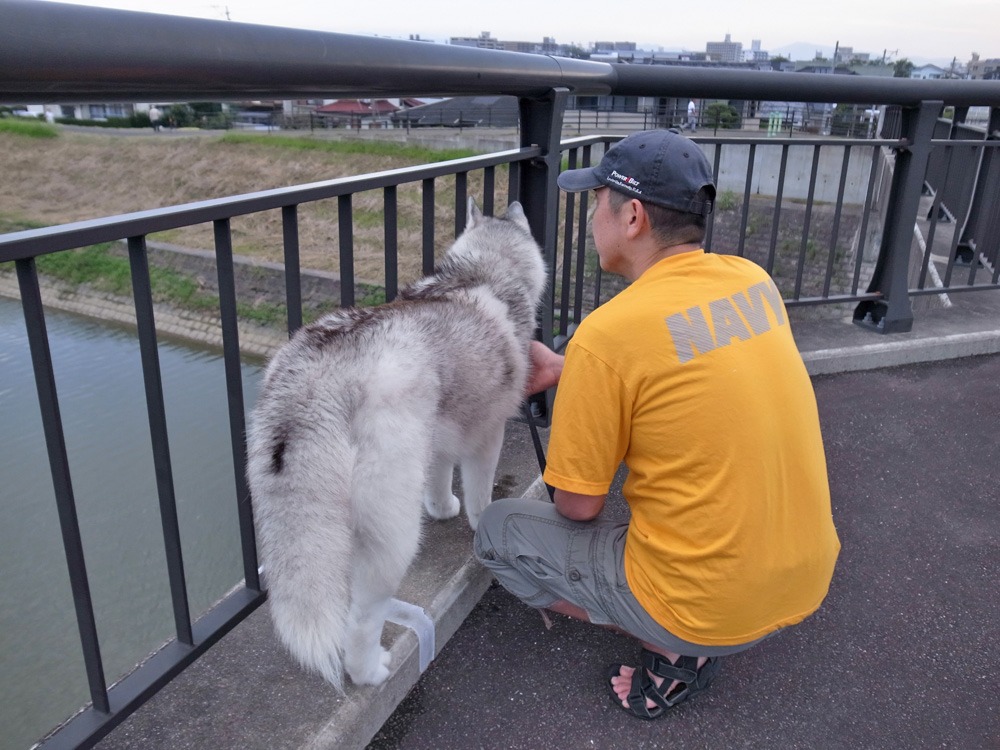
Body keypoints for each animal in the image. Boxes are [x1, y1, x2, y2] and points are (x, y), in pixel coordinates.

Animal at [249, 200, 548, 692]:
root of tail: (321, 374)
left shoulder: (441, 430)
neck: (484, 270)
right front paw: (479, 520)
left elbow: (440, 472)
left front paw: (442, 506)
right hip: (393, 535)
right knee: (360, 618)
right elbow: (481, 493)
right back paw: (369, 671)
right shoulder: (489, 432)